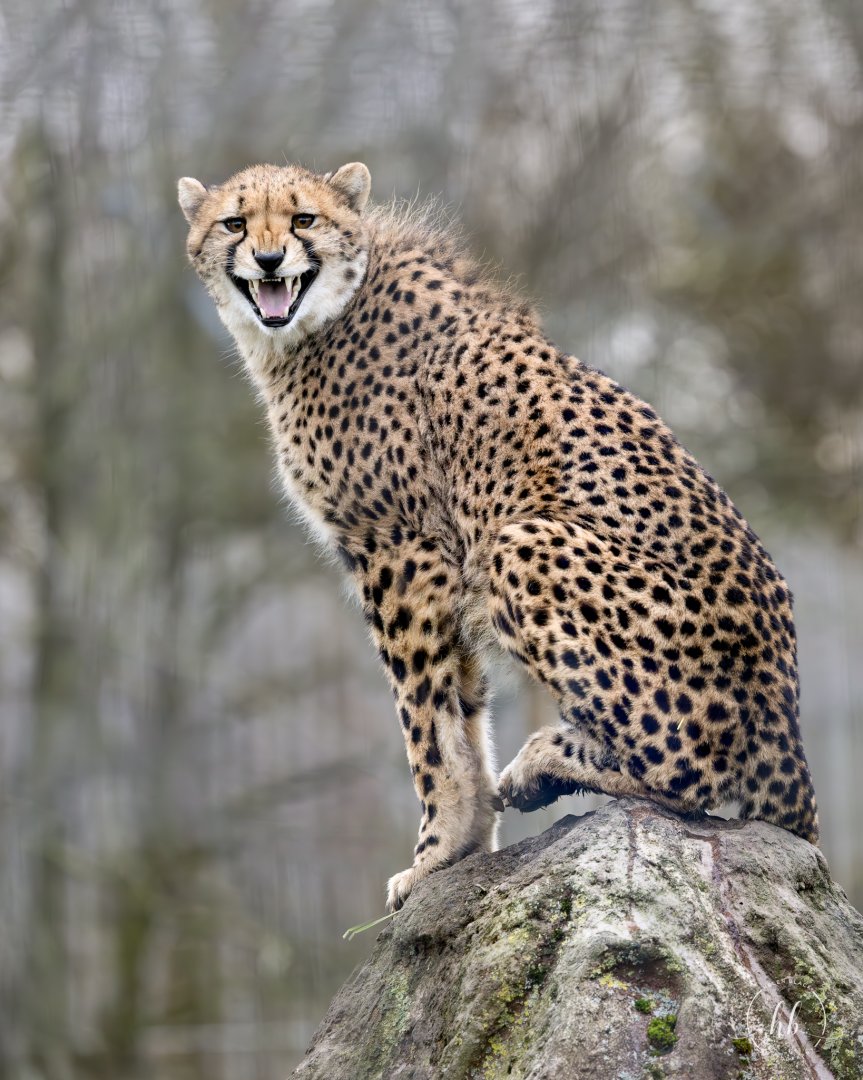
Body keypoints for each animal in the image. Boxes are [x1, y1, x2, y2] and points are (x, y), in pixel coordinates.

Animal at [178, 160, 819, 912]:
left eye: (303, 219)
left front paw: (435, 853)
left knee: (693, 772)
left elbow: (423, 722)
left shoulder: (402, 548)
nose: (270, 259)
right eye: (235, 223)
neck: (314, 324)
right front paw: (470, 840)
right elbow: (459, 708)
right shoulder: (434, 568)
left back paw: (546, 759)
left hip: (521, 544)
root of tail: (788, 722)